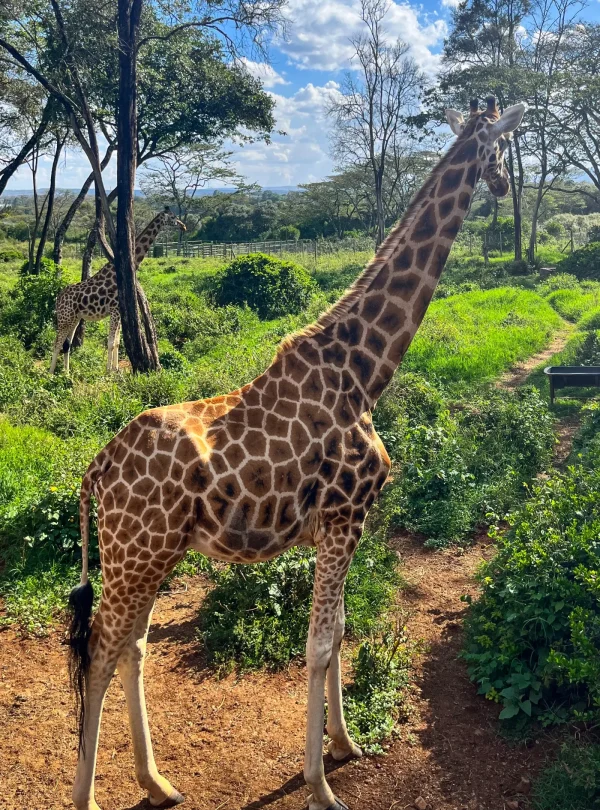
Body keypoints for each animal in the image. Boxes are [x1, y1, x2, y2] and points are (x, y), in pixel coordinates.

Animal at [49, 209, 186, 375]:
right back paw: (50, 374)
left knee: (66, 344)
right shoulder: (114, 310)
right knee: (57, 342)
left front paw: (115, 369)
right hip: (65, 318)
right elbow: (110, 342)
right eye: (173, 217)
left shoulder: (120, 311)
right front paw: (108, 371)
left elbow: (117, 342)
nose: (184, 226)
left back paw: (66, 373)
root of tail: (58, 298)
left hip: (74, 318)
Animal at [66, 97, 526, 810]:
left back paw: (157, 781)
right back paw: (94, 793)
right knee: (97, 651)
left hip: (148, 554)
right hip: (136, 554)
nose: (504, 185)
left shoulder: (343, 524)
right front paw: (320, 785)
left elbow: (337, 632)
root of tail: (96, 471)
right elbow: (316, 646)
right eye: (501, 147)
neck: (365, 370)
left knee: (131, 646)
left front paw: (345, 744)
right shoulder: (343, 516)